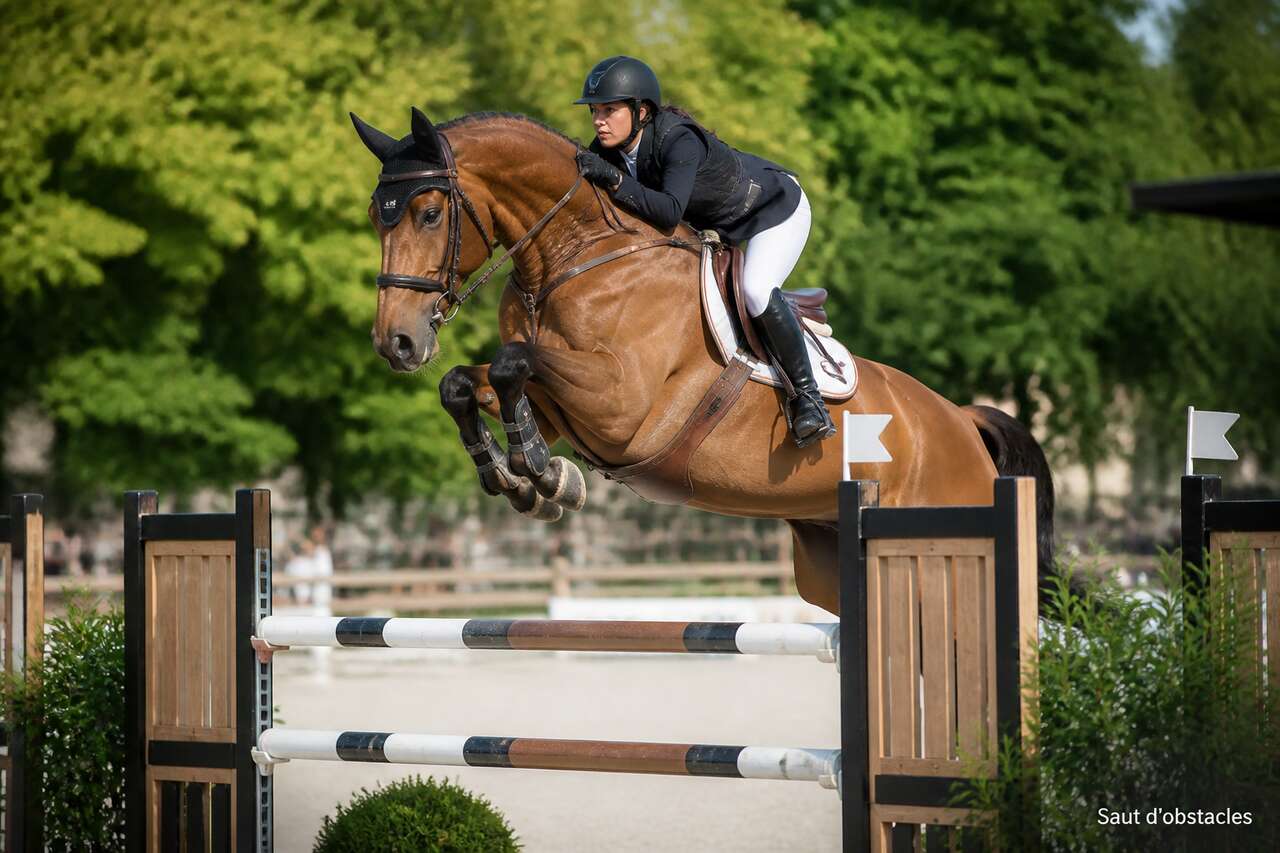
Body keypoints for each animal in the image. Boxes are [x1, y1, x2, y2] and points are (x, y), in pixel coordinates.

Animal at [351, 108, 1055, 615]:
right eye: (377, 218)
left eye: (429, 212)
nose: (397, 343)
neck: (573, 256)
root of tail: (961, 422)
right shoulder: (560, 404)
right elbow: (465, 385)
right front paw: (530, 480)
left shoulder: (618, 403)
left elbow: (511, 362)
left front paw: (542, 475)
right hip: (829, 560)